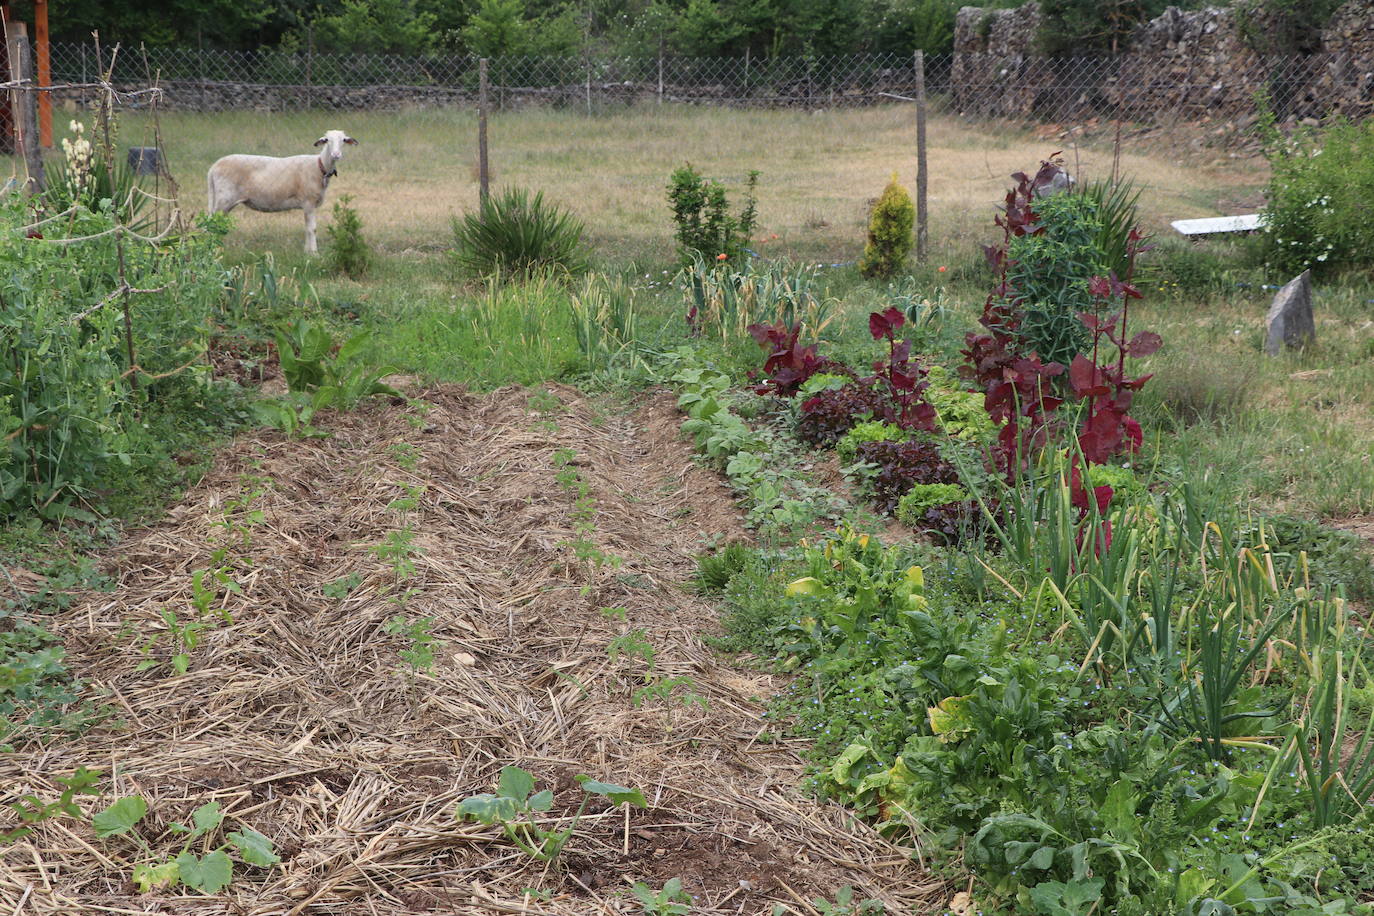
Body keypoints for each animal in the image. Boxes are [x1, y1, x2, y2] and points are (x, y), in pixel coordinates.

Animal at [206, 127, 359, 252]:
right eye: (327, 140)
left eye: (343, 140)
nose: (336, 155)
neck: (319, 167)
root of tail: (213, 168)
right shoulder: (308, 202)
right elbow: (312, 229)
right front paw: (314, 253)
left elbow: (307, 228)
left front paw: (306, 251)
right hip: (224, 199)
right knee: (211, 223)